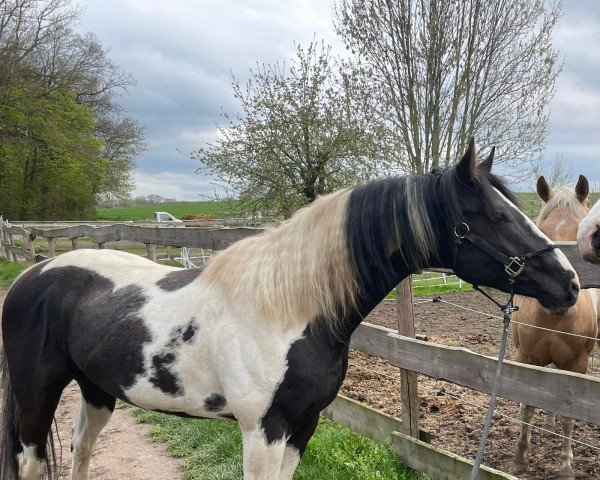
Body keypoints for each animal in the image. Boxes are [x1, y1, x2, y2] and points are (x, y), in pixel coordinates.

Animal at [1, 140, 580, 480]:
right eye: (494, 217)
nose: (569, 284)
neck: (288, 313)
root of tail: (31, 275)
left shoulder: (303, 426)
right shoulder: (263, 430)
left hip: (97, 390)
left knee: (81, 452)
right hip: (36, 394)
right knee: (31, 461)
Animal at [508, 176, 596, 480]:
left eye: (576, 234)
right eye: (541, 234)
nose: (559, 293)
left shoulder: (576, 365)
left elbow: (569, 415)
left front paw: (566, 466)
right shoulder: (526, 358)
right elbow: (527, 404)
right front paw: (520, 457)